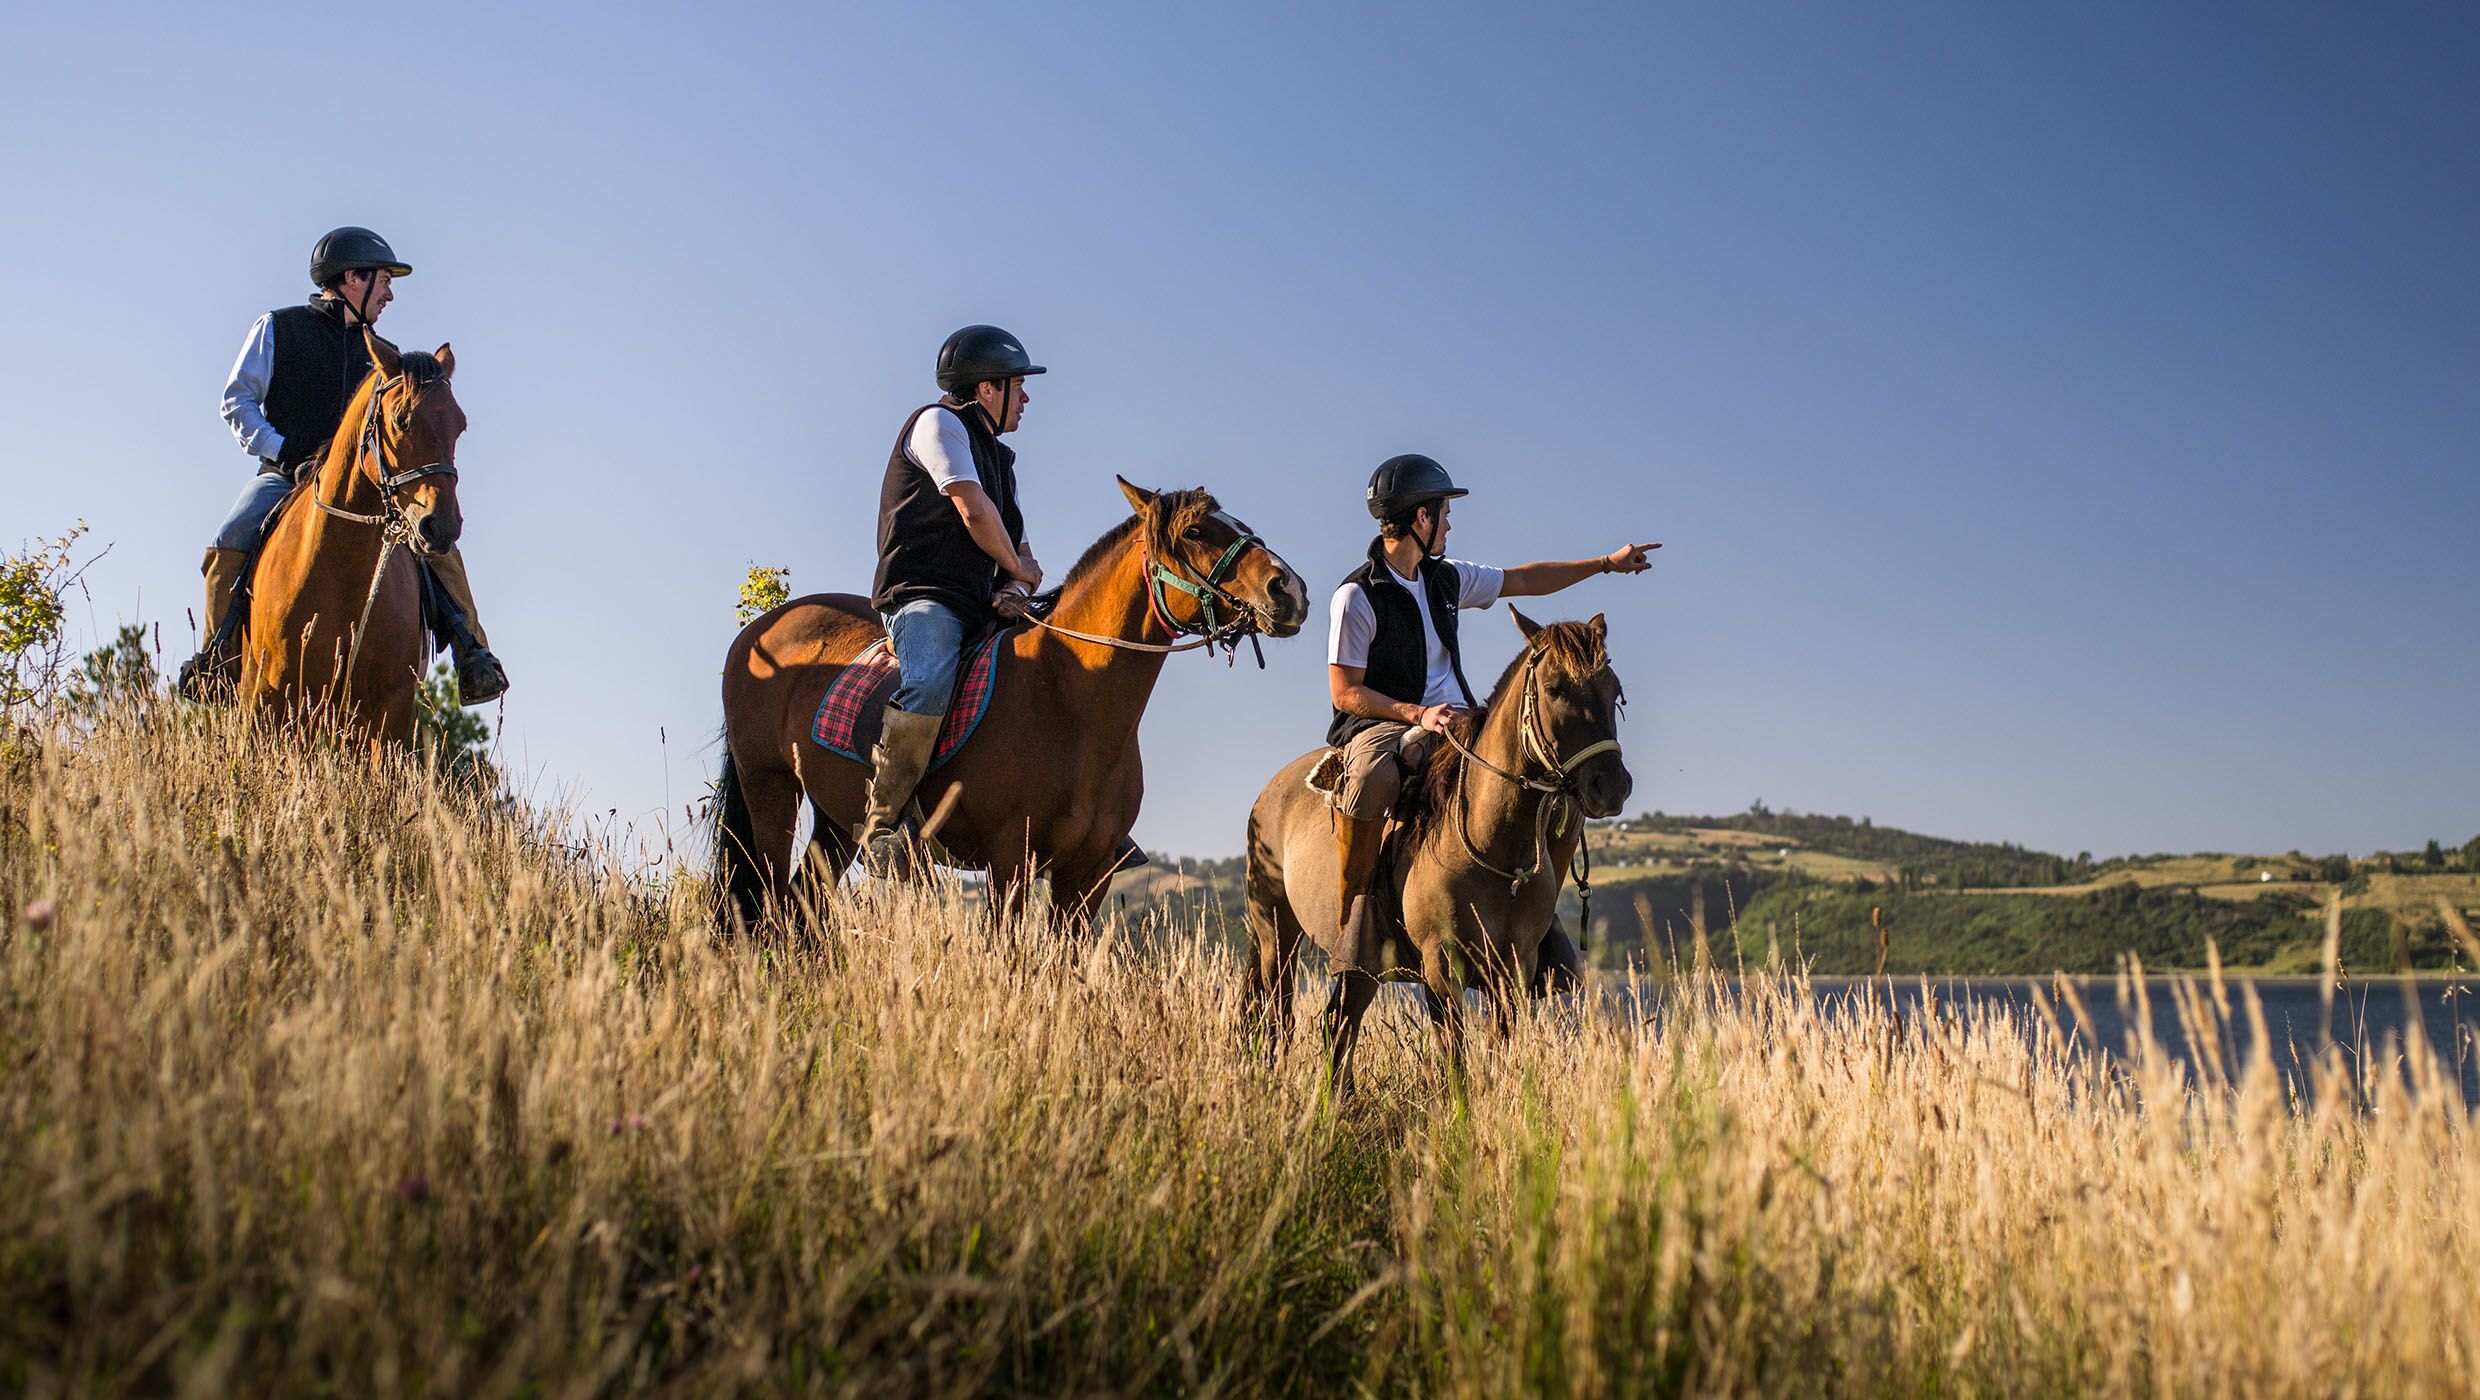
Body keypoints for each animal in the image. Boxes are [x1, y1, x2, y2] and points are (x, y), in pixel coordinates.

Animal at [712, 478, 1309, 931]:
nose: (1290, 591)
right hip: (770, 792)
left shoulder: (1087, 876)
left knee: (800, 904)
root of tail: (761, 631)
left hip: (835, 822)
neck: (1069, 697)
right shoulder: (1009, 862)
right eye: (1193, 532)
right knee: (767, 900)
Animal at [1243, 610, 1633, 1081]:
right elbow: (1455, 1062)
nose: (1610, 786)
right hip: (1276, 935)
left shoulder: (1514, 970)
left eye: (1614, 690)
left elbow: (1500, 1052)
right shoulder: (1441, 970)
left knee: (1338, 1023)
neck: (1494, 848)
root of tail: (1270, 790)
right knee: (1278, 1017)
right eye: (1554, 688)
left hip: (1359, 966)